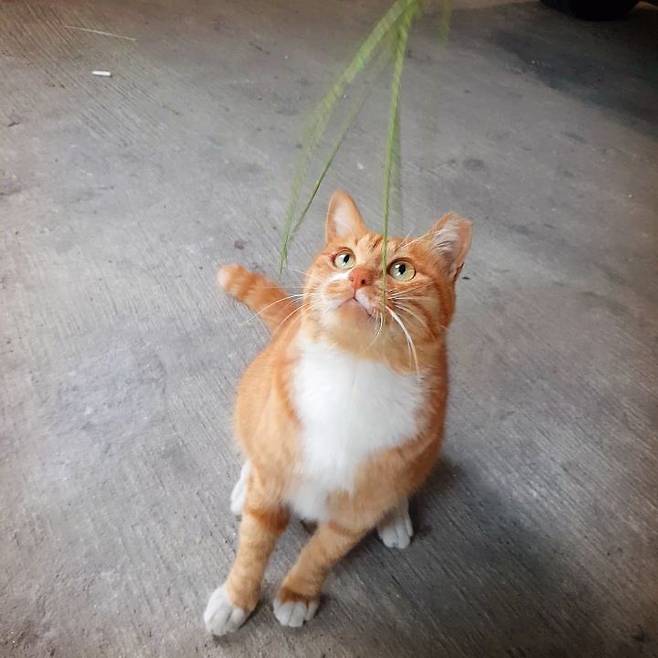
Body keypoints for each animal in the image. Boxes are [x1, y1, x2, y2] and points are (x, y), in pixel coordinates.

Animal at [204, 190, 472, 634]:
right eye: (344, 259)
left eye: (401, 270)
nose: (358, 277)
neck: (353, 373)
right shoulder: (271, 487)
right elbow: (253, 550)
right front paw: (236, 598)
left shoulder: (352, 517)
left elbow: (319, 556)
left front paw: (297, 594)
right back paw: (244, 485)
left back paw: (394, 516)